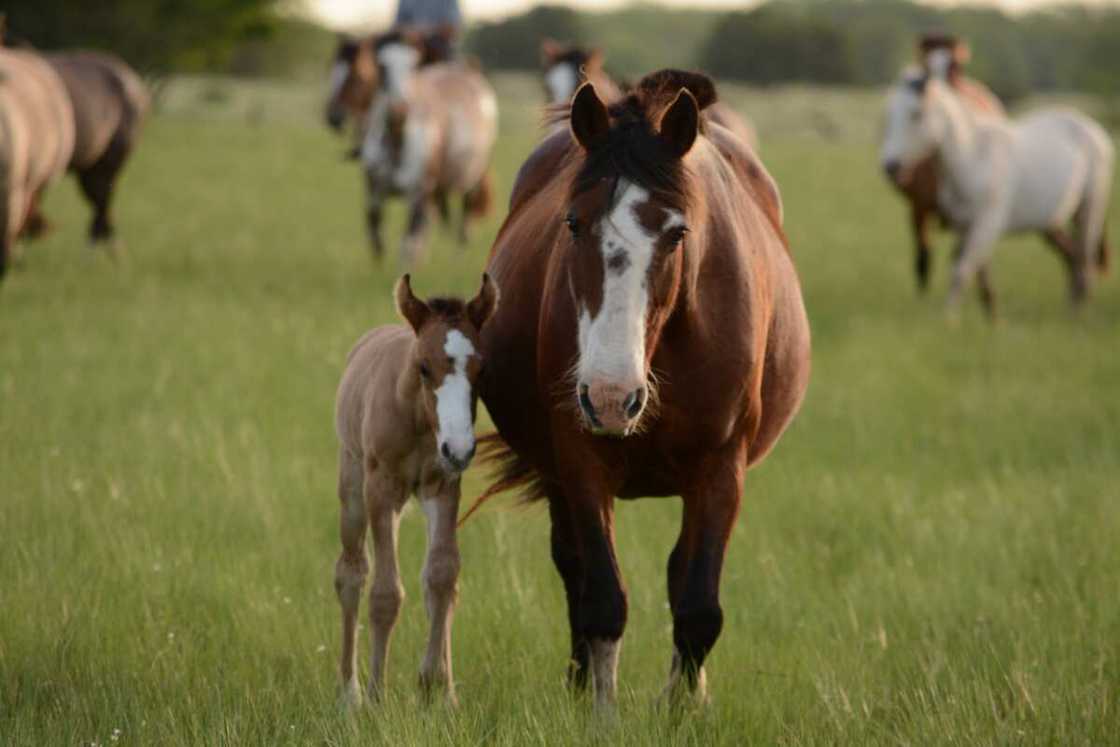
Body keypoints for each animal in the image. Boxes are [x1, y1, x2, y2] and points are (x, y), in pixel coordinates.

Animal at [331, 274, 499, 707]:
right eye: (424, 367)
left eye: (481, 368)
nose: (459, 448)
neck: (419, 421)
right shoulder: (381, 491)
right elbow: (385, 592)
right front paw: (376, 696)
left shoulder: (444, 486)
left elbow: (441, 576)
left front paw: (437, 688)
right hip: (353, 488)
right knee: (351, 572)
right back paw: (349, 692)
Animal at [468, 72, 810, 712]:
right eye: (572, 224)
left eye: (677, 233)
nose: (610, 397)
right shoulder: (580, 462)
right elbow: (602, 597)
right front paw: (599, 712)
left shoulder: (721, 469)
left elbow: (698, 607)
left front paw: (681, 712)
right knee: (573, 568)